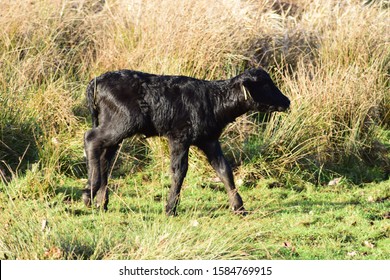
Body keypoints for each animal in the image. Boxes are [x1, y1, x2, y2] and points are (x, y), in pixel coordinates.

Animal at [83, 67, 290, 214]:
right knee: (91, 139)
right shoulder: (179, 138)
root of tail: (96, 81)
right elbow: (179, 171)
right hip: (122, 122)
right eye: (265, 85)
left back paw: (101, 202)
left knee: (105, 157)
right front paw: (170, 209)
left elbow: (224, 171)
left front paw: (239, 208)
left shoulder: (209, 140)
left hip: (116, 127)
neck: (213, 100)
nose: (287, 101)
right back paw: (89, 192)